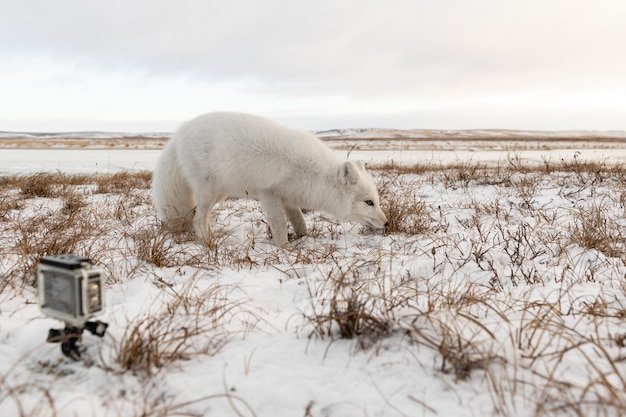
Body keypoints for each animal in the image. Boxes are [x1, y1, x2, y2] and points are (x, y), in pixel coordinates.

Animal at [151, 112, 386, 245]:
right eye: (369, 202)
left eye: (376, 200)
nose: (387, 223)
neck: (313, 173)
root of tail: (179, 132)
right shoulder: (269, 194)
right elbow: (280, 225)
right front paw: (283, 248)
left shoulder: (290, 198)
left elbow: (300, 222)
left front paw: (303, 239)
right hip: (208, 190)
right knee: (197, 220)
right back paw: (210, 242)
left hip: (219, 193)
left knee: (201, 217)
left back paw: (213, 235)